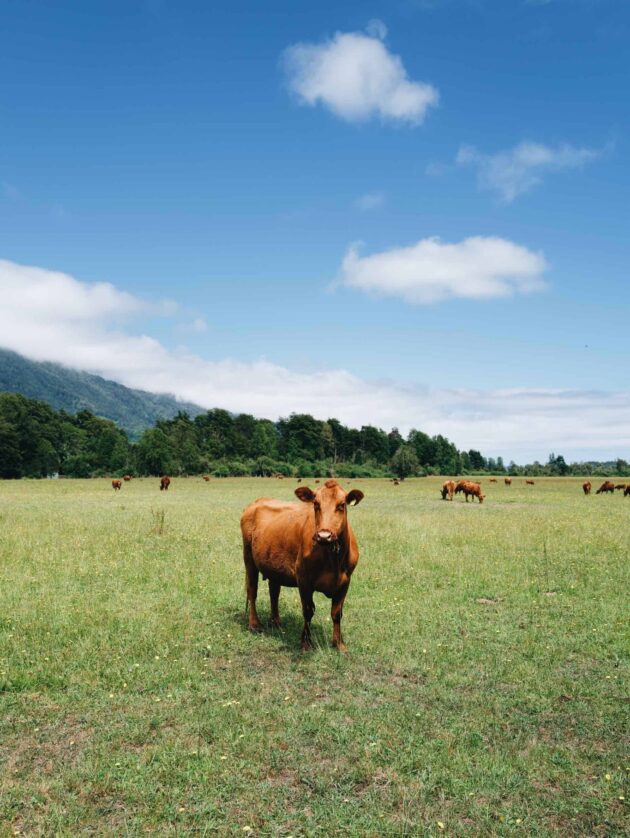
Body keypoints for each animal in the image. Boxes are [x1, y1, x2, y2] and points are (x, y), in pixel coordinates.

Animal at [242, 482, 366, 652]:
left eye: (341, 505)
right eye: (316, 504)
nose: (324, 536)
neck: (332, 559)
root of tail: (257, 502)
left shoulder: (345, 581)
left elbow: (336, 613)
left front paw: (339, 644)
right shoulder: (303, 579)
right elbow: (308, 611)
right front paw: (306, 643)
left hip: (273, 564)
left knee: (274, 592)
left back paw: (276, 621)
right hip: (249, 558)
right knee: (252, 591)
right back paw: (254, 624)